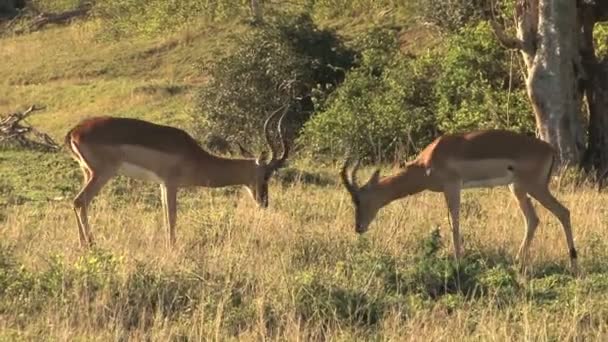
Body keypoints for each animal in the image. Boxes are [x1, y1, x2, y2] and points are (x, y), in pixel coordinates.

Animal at [66, 106, 290, 246]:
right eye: (266, 175)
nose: (264, 202)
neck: (194, 156)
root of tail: (74, 132)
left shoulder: (162, 185)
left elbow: (167, 215)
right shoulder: (170, 184)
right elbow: (172, 216)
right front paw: (172, 246)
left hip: (87, 172)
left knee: (77, 202)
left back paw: (82, 245)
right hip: (102, 174)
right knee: (80, 201)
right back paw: (91, 245)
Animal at [342, 130, 580, 274]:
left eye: (359, 199)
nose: (358, 227)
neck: (427, 162)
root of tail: (551, 150)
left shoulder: (452, 187)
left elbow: (454, 224)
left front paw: (458, 262)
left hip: (534, 188)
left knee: (563, 212)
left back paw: (573, 263)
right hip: (518, 189)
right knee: (533, 220)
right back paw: (516, 262)